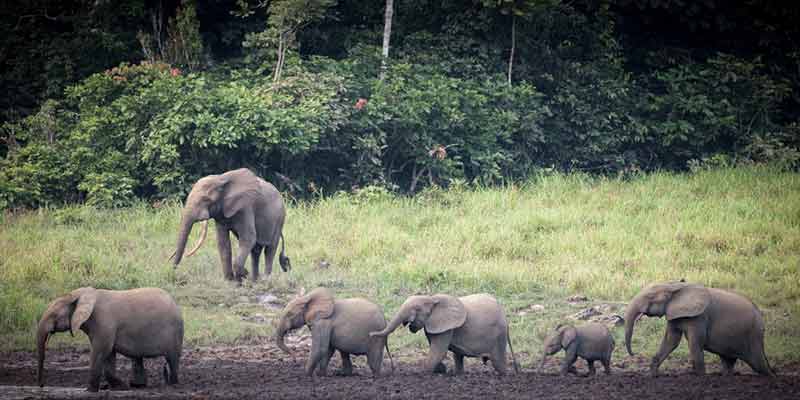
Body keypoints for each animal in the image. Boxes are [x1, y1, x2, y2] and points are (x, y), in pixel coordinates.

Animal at [37, 287, 184, 392]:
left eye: (54, 315)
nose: (42, 385)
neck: (81, 294)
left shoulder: (104, 323)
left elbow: (101, 351)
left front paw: (89, 391)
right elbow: (108, 355)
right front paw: (121, 387)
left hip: (174, 331)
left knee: (172, 358)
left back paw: (172, 384)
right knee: (137, 358)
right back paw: (137, 386)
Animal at [370, 293, 519, 375]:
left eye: (417, 309)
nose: (370, 334)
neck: (432, 298)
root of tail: (504, 314)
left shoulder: (445, 327)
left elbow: (438, 351)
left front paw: (424, 373)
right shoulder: (434, 325)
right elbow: (437, 349)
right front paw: (441, 370)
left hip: (499, 335)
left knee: (498, 362)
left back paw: (504, 375)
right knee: (458, 356)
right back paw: (459, 374)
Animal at [624, 281, 775, 376]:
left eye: (649, 297)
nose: (634, 354)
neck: (675, 286)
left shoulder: (699, 317)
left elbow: (694, 342)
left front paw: (701, 376)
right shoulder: (673, 313)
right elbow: (671, 340)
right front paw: (652, 375)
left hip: (753, 335)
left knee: (759, 365)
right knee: (729, 361)